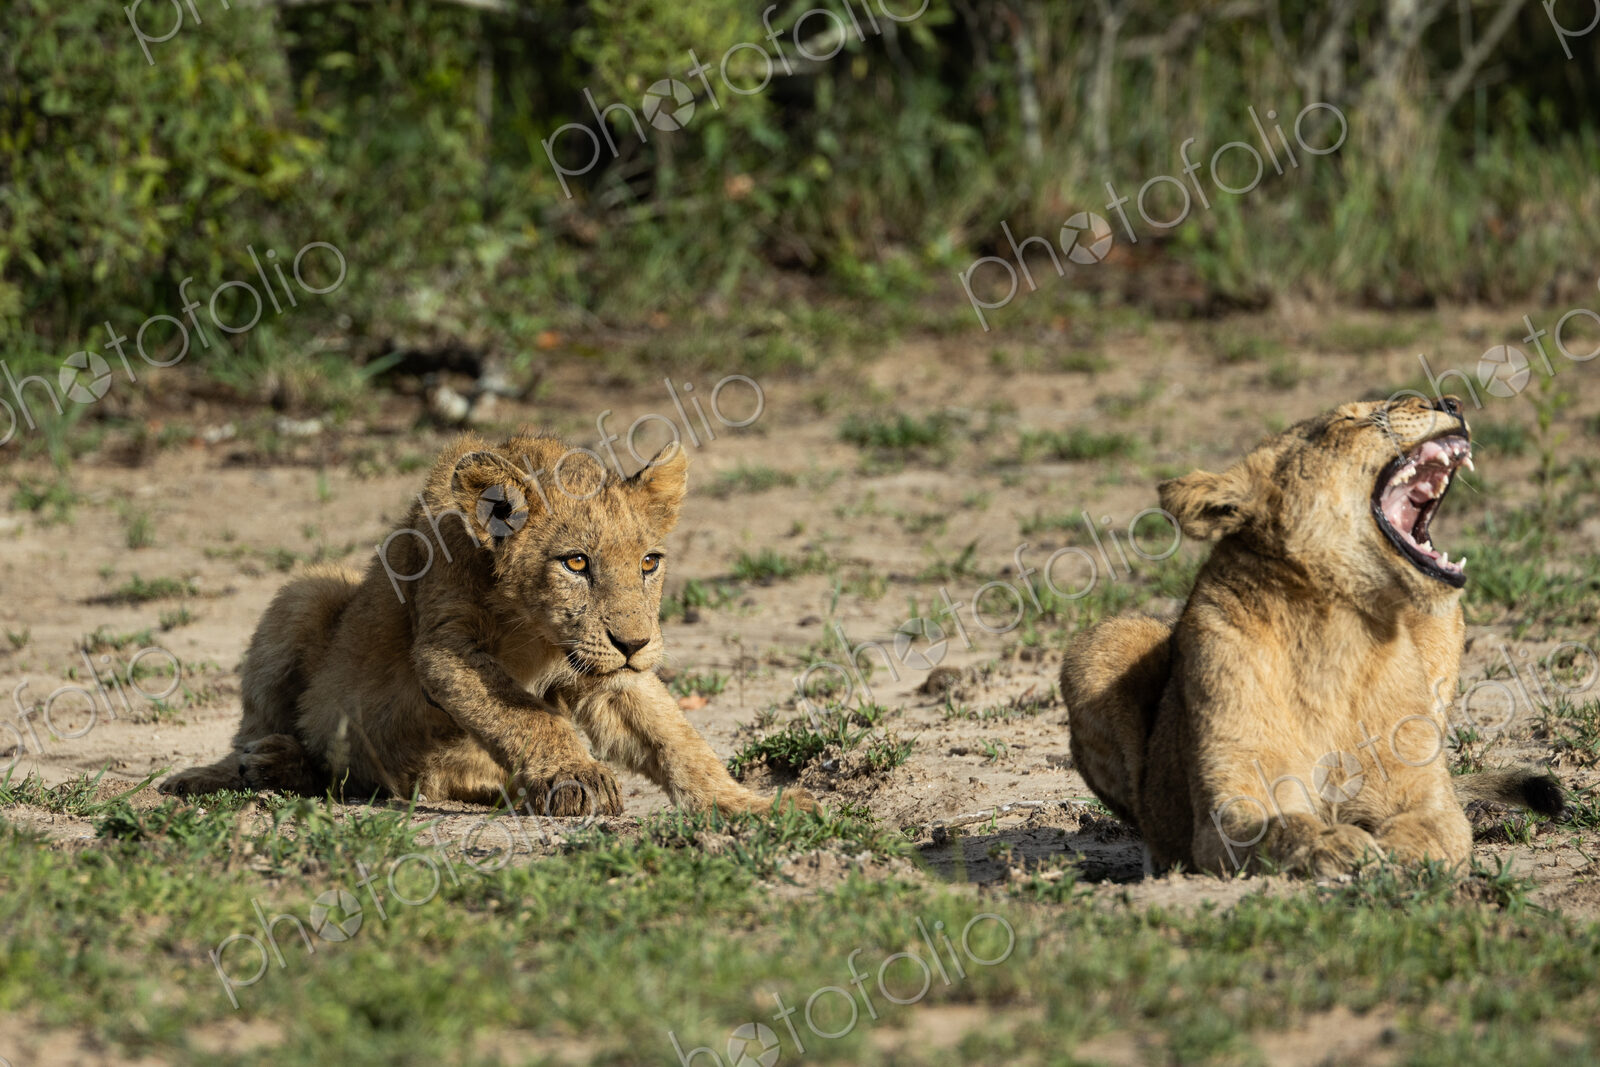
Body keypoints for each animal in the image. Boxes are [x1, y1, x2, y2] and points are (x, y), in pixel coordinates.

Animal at [160, 431, 817, 818]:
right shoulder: (445, 645)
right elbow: (524, 714)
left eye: (649, 563)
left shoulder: (602, 671)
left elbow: (677, 739)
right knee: (259, 732)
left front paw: (751, 804)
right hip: (307, 591)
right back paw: (240, 767)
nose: (634, 643)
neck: (533, 628)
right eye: (576, 563)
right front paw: (578, 776)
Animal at [1061, 394, 1564, 877]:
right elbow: (1282, 829)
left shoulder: (1428, 796)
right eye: (1347, 421)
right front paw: (1337, 845)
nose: (1453, 403)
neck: (1337, 631)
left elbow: (1434, 827)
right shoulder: (1230, 808)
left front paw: (1401, 856)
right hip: (1103, 642)